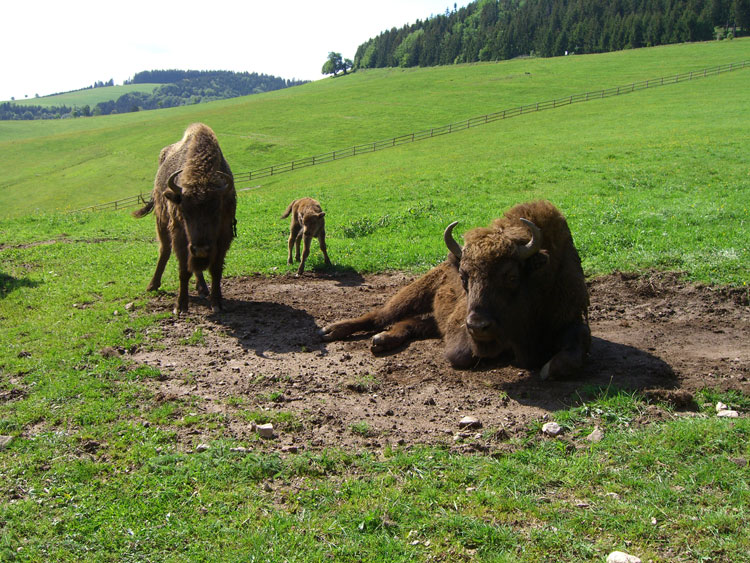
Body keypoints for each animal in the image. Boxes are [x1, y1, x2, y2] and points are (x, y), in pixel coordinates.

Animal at [134, 123, 236, 316]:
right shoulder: (180, 235)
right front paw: (180, 306)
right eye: (184, 211)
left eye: (216, 210)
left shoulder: (224, 235)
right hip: (161, 221)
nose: (201, 249)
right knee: (164, 251)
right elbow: (183, 270)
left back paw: (203, 288)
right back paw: (153, 285)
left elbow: (216, 269)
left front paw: (217, 302)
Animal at [320, 199, 592, 378]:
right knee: (379, 316)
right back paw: (334, 331)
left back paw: (384, 339)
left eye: (512, 276)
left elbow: (576, 349)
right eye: (463, 277)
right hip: (414, 294)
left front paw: (547, 368)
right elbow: (465, 355)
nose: (478, 326)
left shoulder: (571, 319)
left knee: (416, 323)